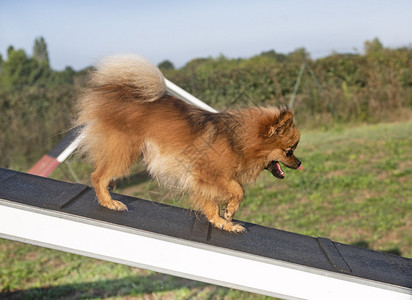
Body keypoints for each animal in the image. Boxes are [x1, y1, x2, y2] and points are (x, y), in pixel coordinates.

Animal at [76, 54, 302, 232]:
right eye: (289, 151)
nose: (300, 163)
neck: (236, 140)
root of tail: (120, 91)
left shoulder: (201, 180)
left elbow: (211, 205)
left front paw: (222, 223)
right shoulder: (208, 174)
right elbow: (238, 190)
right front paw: (229, 213)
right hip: (124, 153)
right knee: (98, 176)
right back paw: (109, 202)